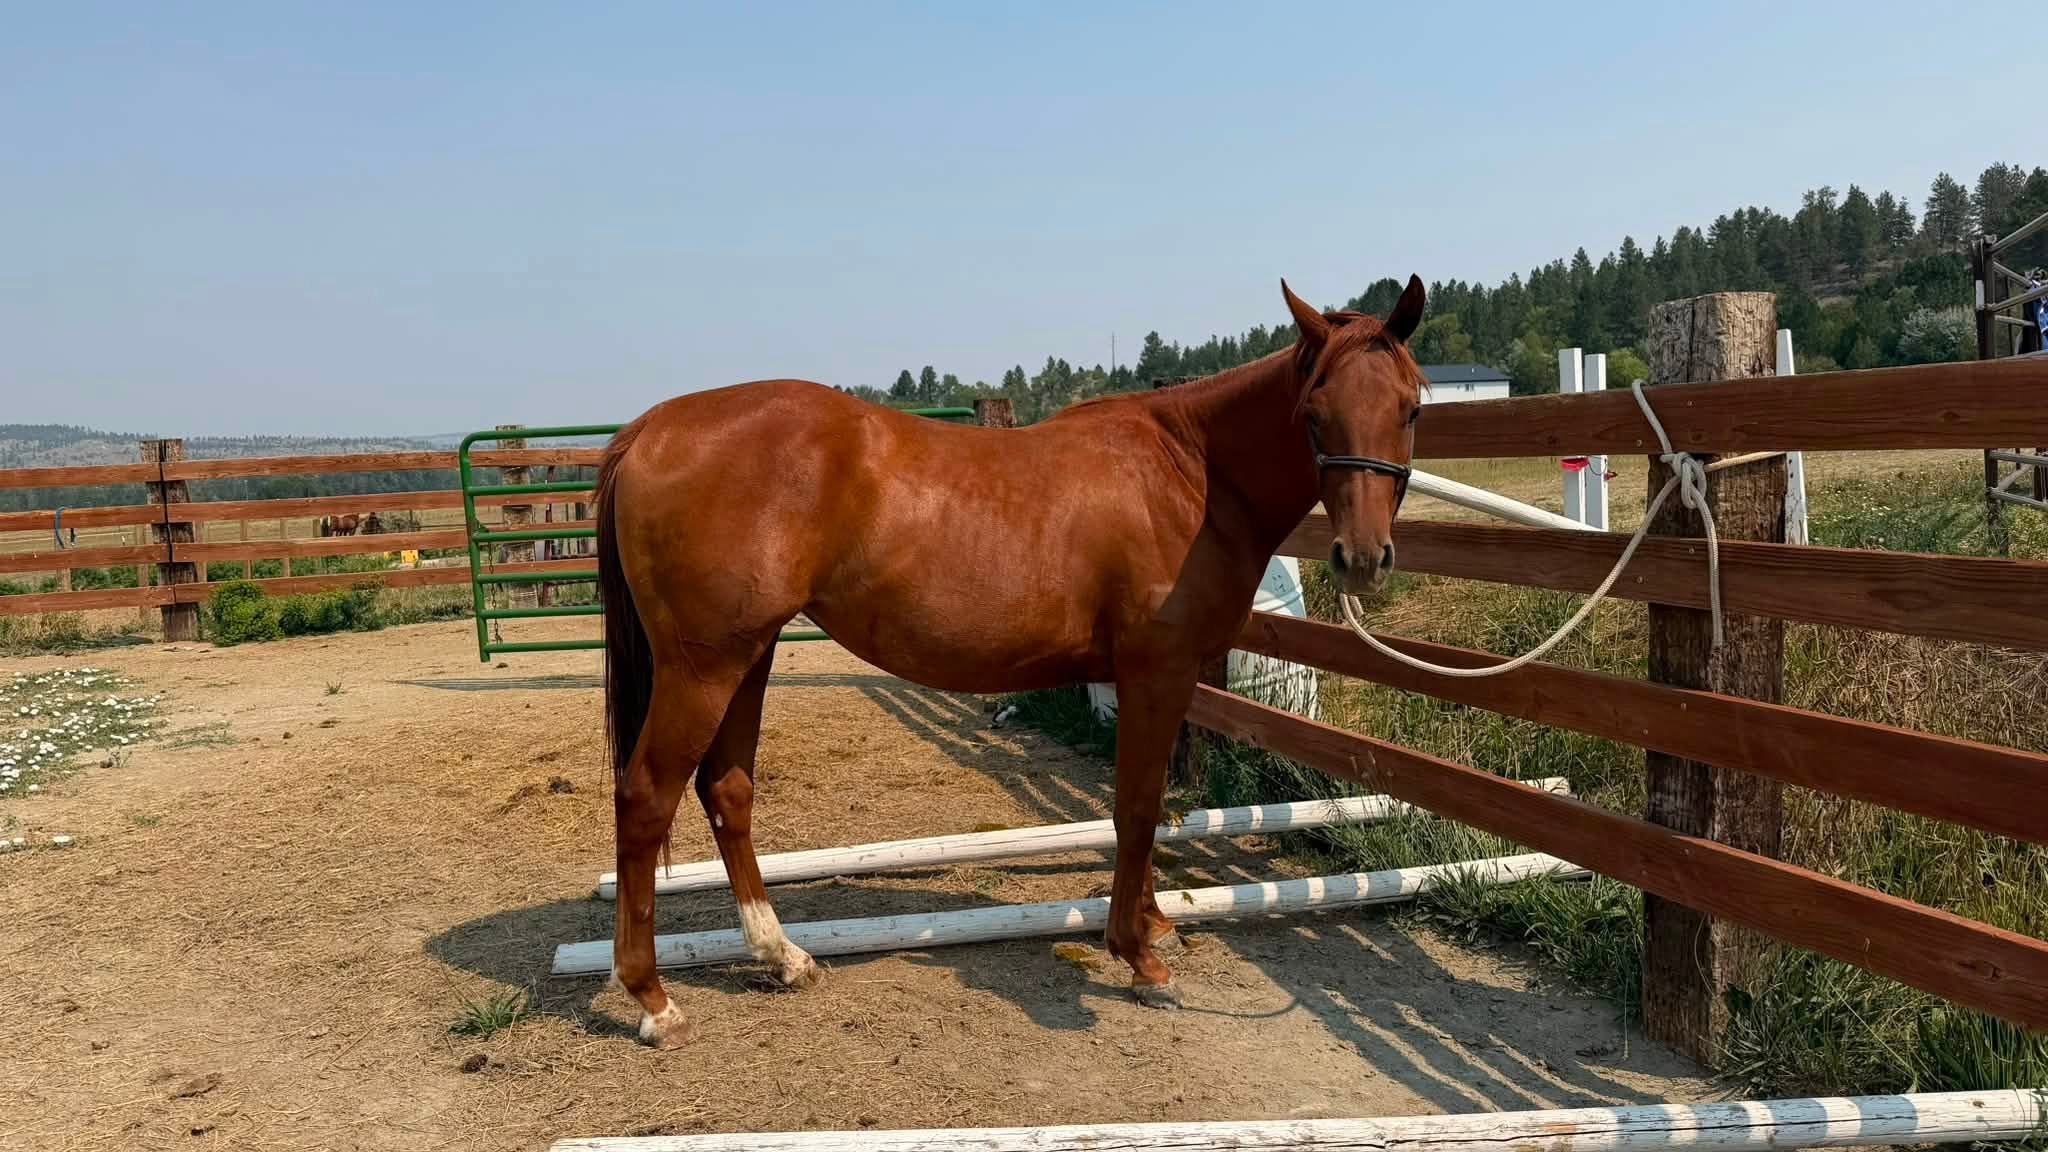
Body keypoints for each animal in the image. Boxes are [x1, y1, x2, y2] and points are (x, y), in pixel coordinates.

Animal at [595, 276, 1428, 1047]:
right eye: (1313, 411)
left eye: (1410, 409)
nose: (1362, 559)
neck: (1190, 471)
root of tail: (648, 428)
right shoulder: (1155, 671)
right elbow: (1137, 806)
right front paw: (1140, 956)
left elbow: (1146, 805)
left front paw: (1153, 924)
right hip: (705, 668)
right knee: (646, 797)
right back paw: (653, 1000)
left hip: (750, 656)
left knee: (727, 791)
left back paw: (782, 957)